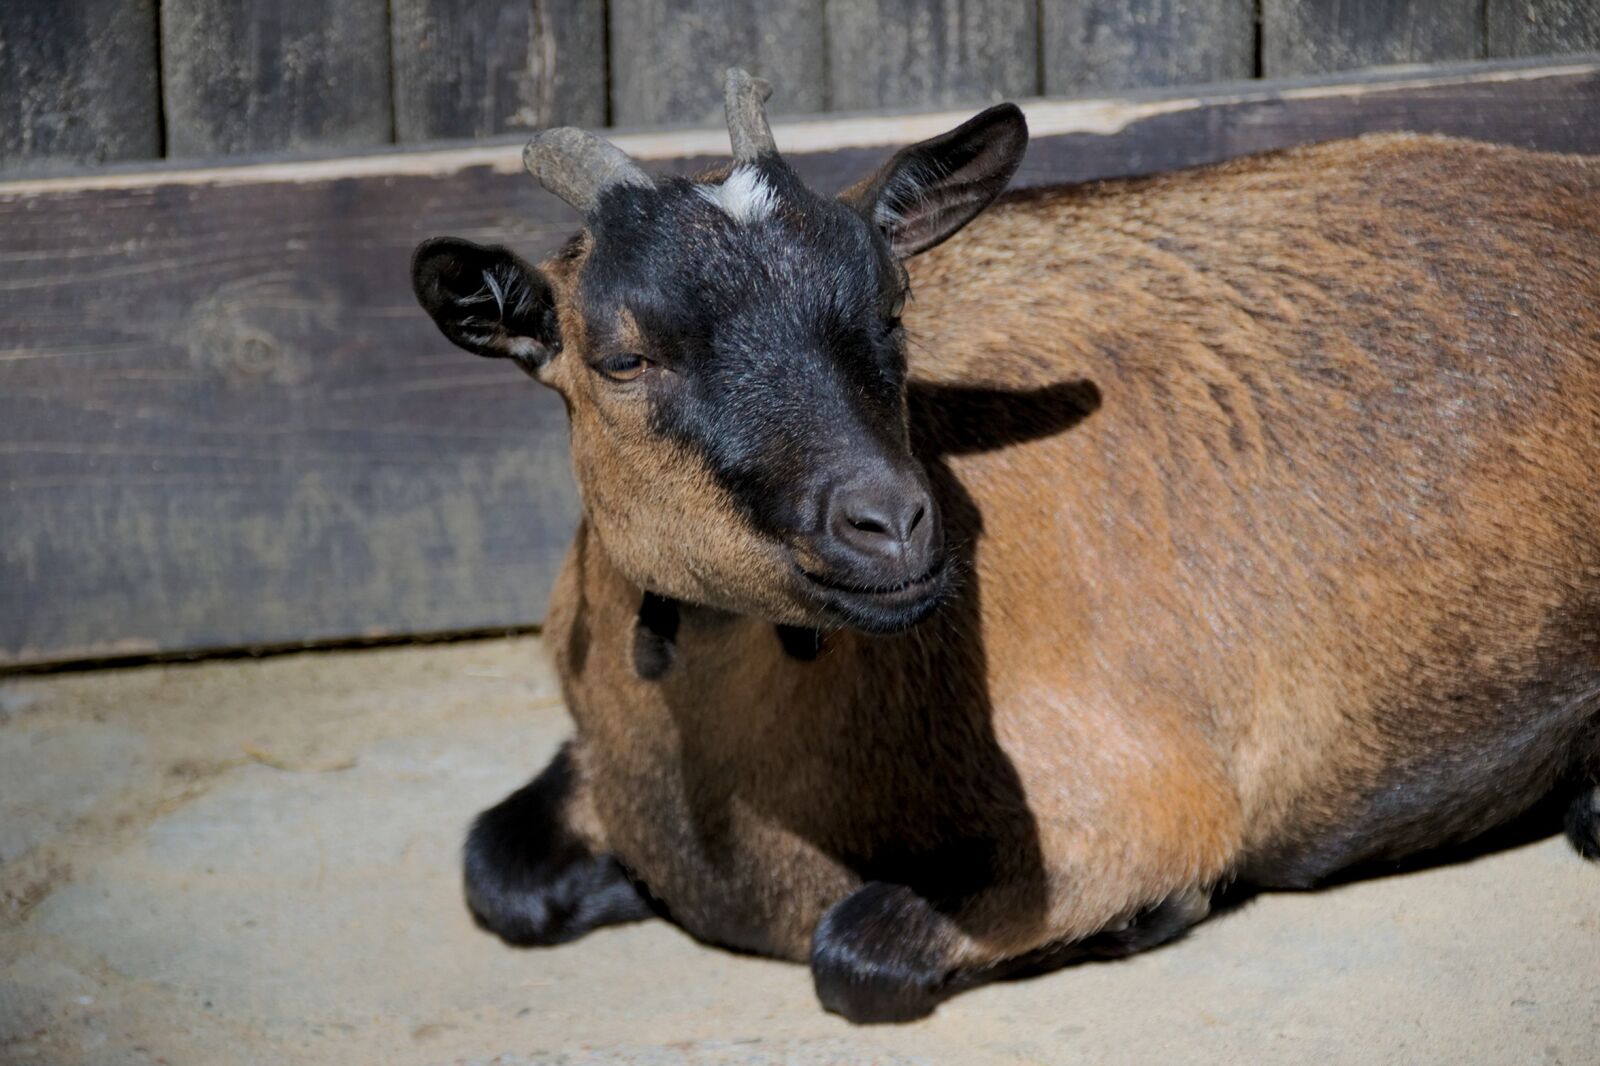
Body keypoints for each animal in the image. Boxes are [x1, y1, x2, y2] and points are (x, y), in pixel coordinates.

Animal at [412, 69, 1600, 1023]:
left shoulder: (1128, 802)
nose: (892, 523)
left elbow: (853, 951)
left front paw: (1150, 917)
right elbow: (490, 866)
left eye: (893, 309)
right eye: (621, 357)